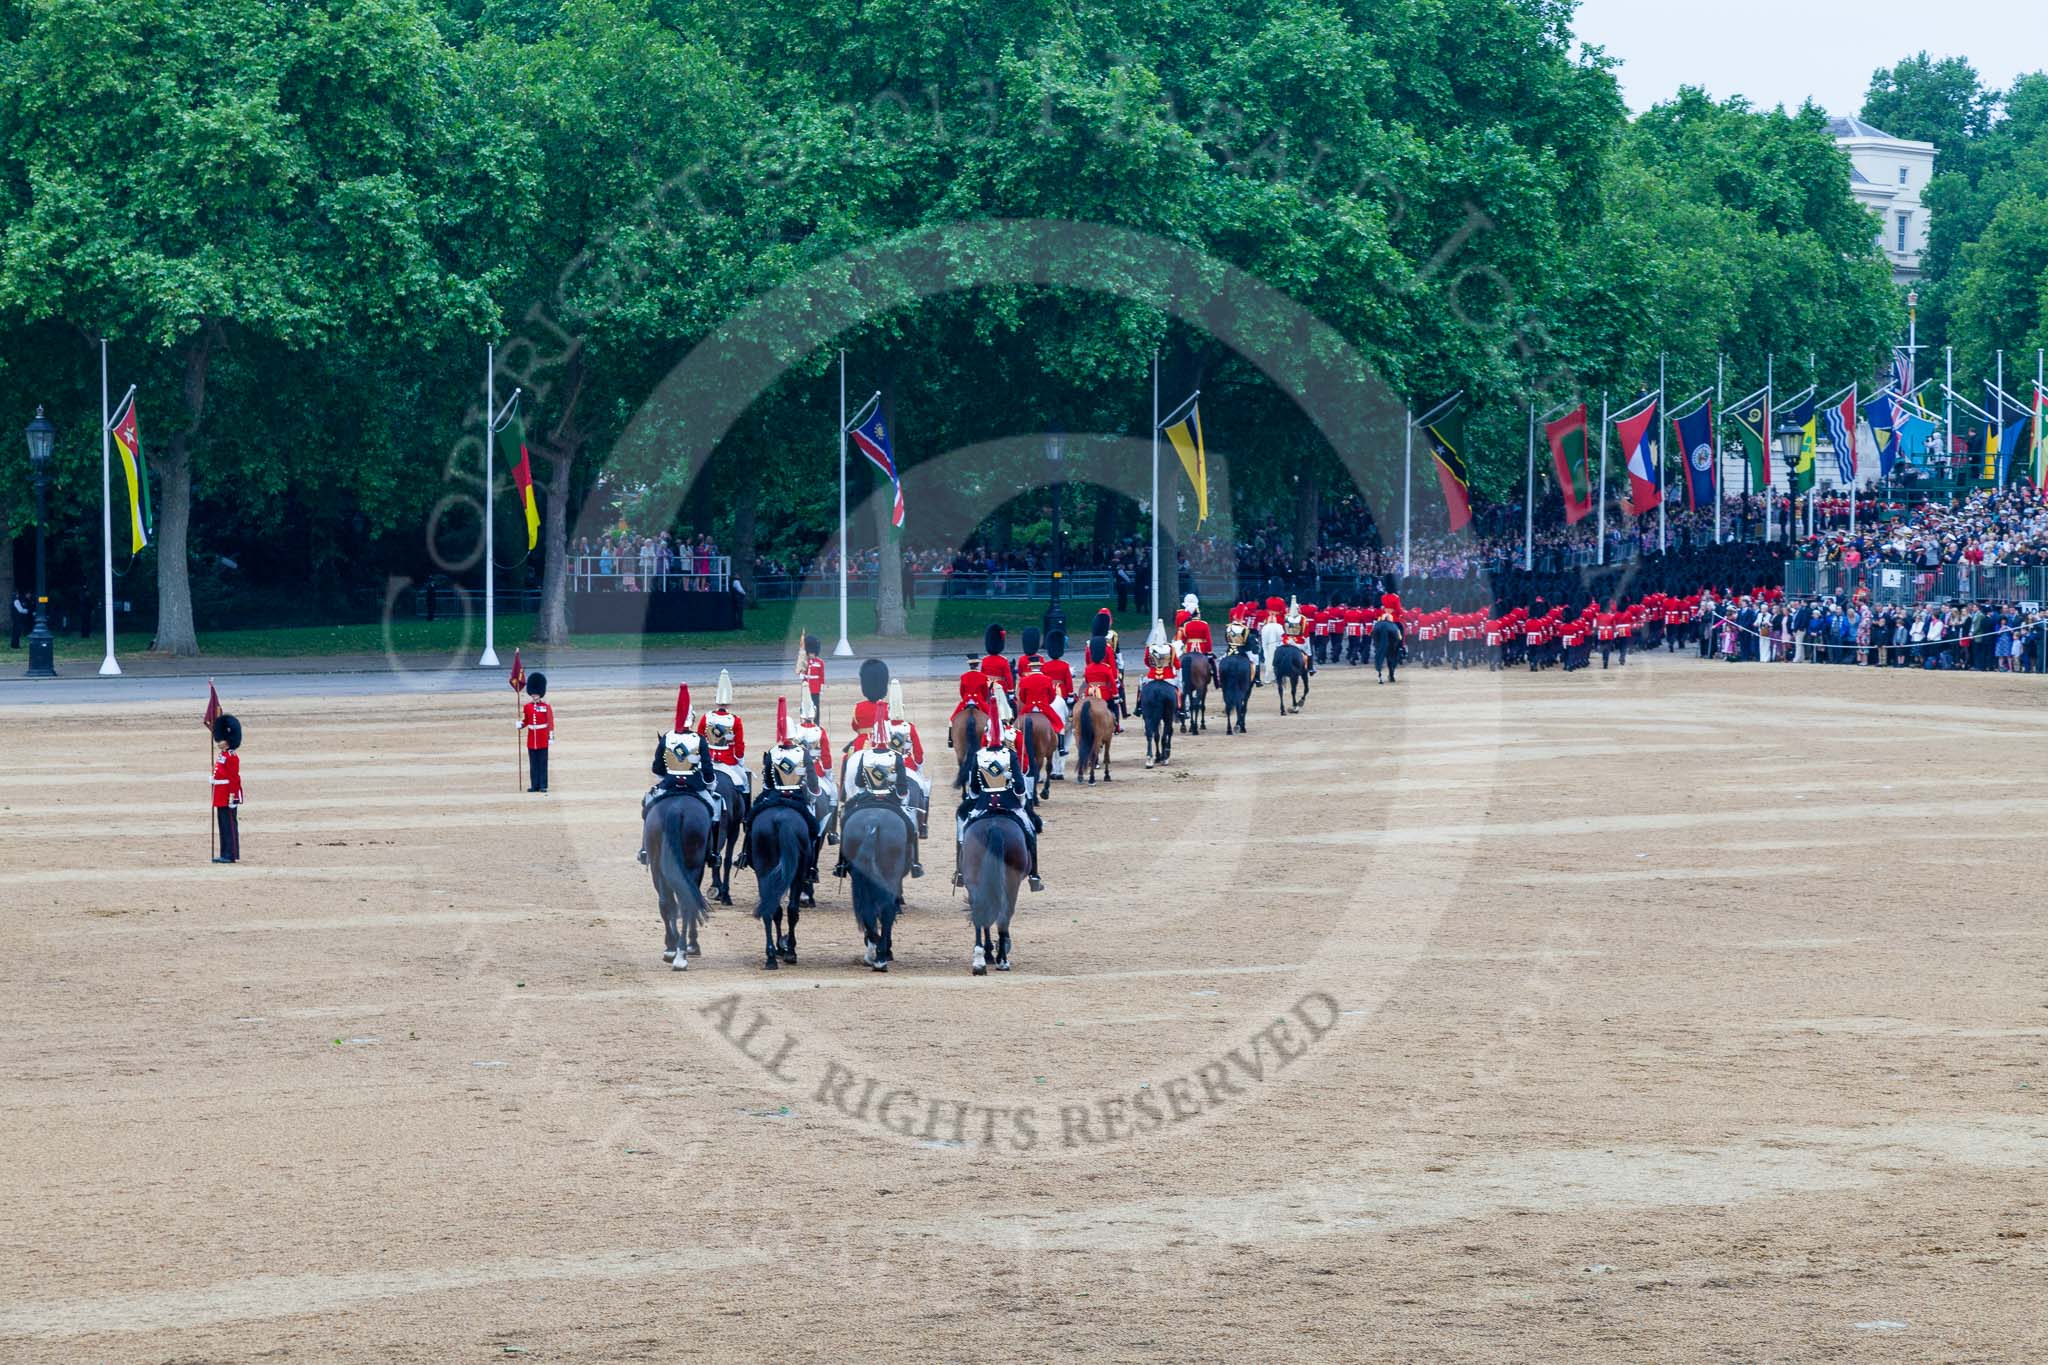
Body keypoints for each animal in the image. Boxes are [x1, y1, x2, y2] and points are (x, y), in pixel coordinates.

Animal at [643, 789, 716, 970]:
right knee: (685, 903)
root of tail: (675, 810)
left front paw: (671, 946)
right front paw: (692, 945)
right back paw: (681, 953)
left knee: (666, 902)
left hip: (657, 867)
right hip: (691, 865)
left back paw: (673, 949)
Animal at [749, 802, 811, 970]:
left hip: (764, 873)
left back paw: (771, 957)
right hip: (797, 875)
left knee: (769, 909)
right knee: (791, 910)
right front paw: (785, 947)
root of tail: (780, 820)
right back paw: (790, 952)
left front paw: (779, 947)